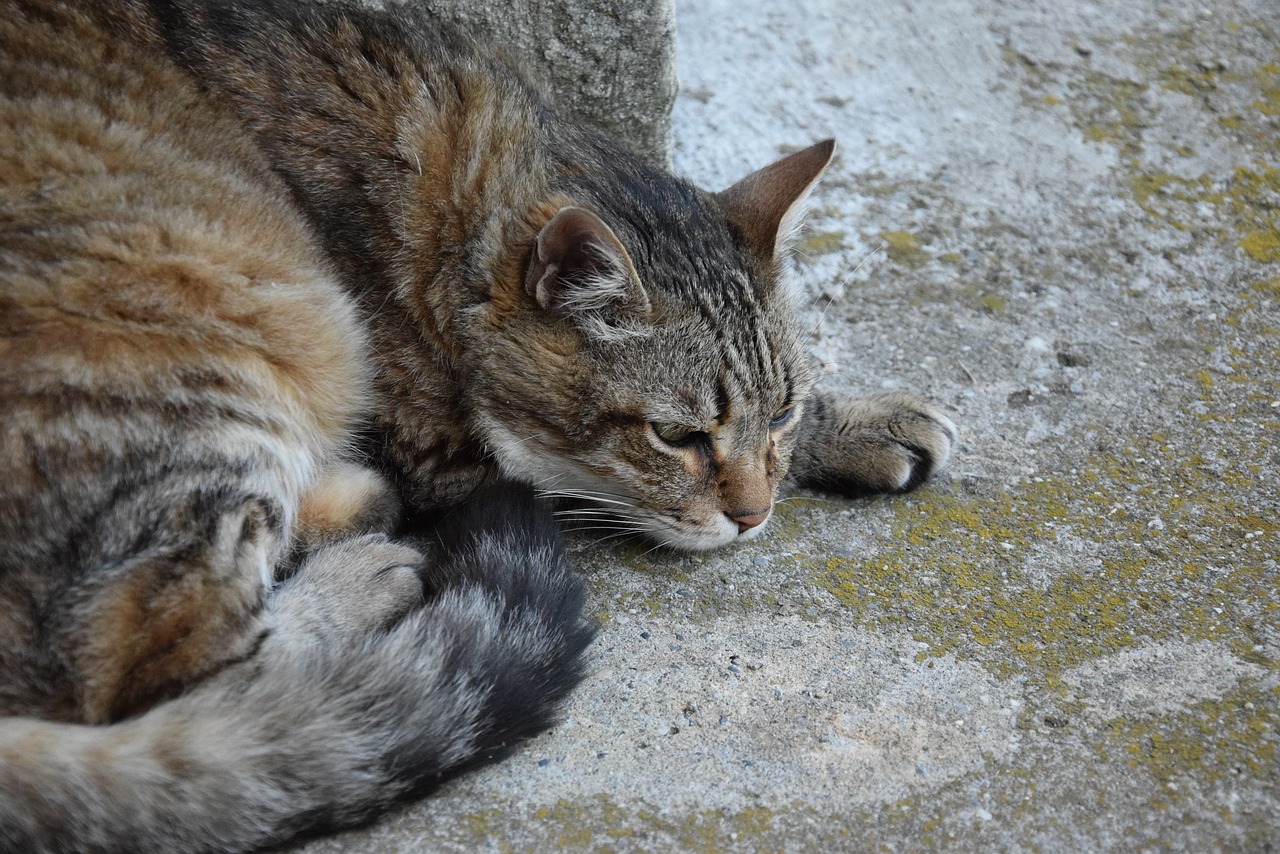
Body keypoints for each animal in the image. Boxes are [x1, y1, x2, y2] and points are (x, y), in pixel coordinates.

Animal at [2, 0, 962, 850]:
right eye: (677, 437)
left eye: (784, 412)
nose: (754, 517)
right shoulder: (443, 441)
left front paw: (860, 419)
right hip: (242, 328)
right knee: (173, 667)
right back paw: (358, 573)